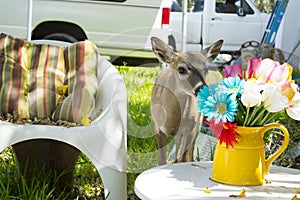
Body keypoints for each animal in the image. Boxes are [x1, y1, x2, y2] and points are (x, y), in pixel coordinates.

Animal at [150, 36, 223, 165]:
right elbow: (161, 161)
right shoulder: (158, 128)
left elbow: (185, 158)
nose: (203, 89)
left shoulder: (190, 128)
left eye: (205, 70)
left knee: (190, 148)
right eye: (181, 69)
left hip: (198, 122)